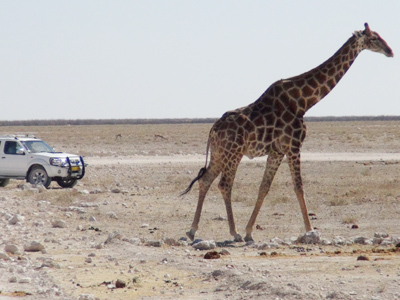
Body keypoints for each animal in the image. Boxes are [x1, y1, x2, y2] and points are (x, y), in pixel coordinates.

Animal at [182, 23, 394, 244]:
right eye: (374, 38)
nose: (390, 51)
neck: (303, 102)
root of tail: (212, 130)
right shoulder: (294, 146)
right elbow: (299, 187)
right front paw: (310, 230)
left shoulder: (277, 151)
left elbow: (264, 187)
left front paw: (250, 231)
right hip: (234, 153)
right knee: (224, 185)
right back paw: (234, 232)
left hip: (219, 153)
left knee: (206, 180)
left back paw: (193, 230)